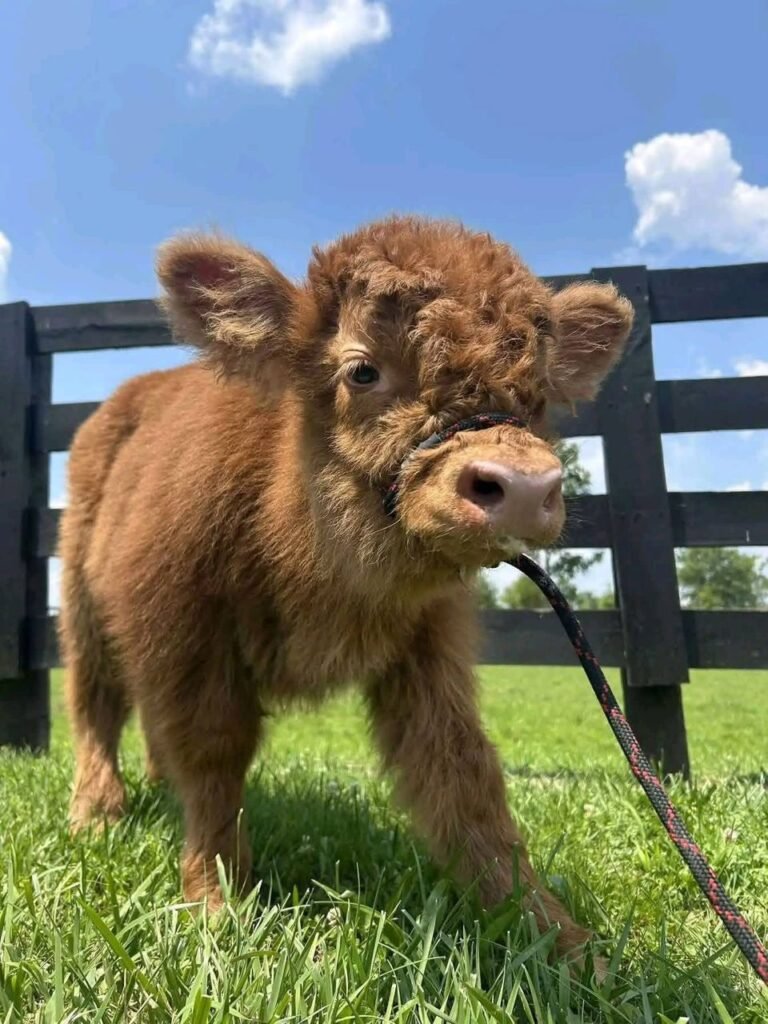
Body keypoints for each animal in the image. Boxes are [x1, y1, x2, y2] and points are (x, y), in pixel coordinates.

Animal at [58, 215, 632, 969]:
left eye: (537, 395)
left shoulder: (429, 652)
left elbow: (463, 781)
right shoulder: (185, 630)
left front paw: (562, 941)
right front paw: (215, 904)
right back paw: (96, 813)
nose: (520, 487)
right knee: (94, 700)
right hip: (82, 602)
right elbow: (214, 756)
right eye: (362, 370)